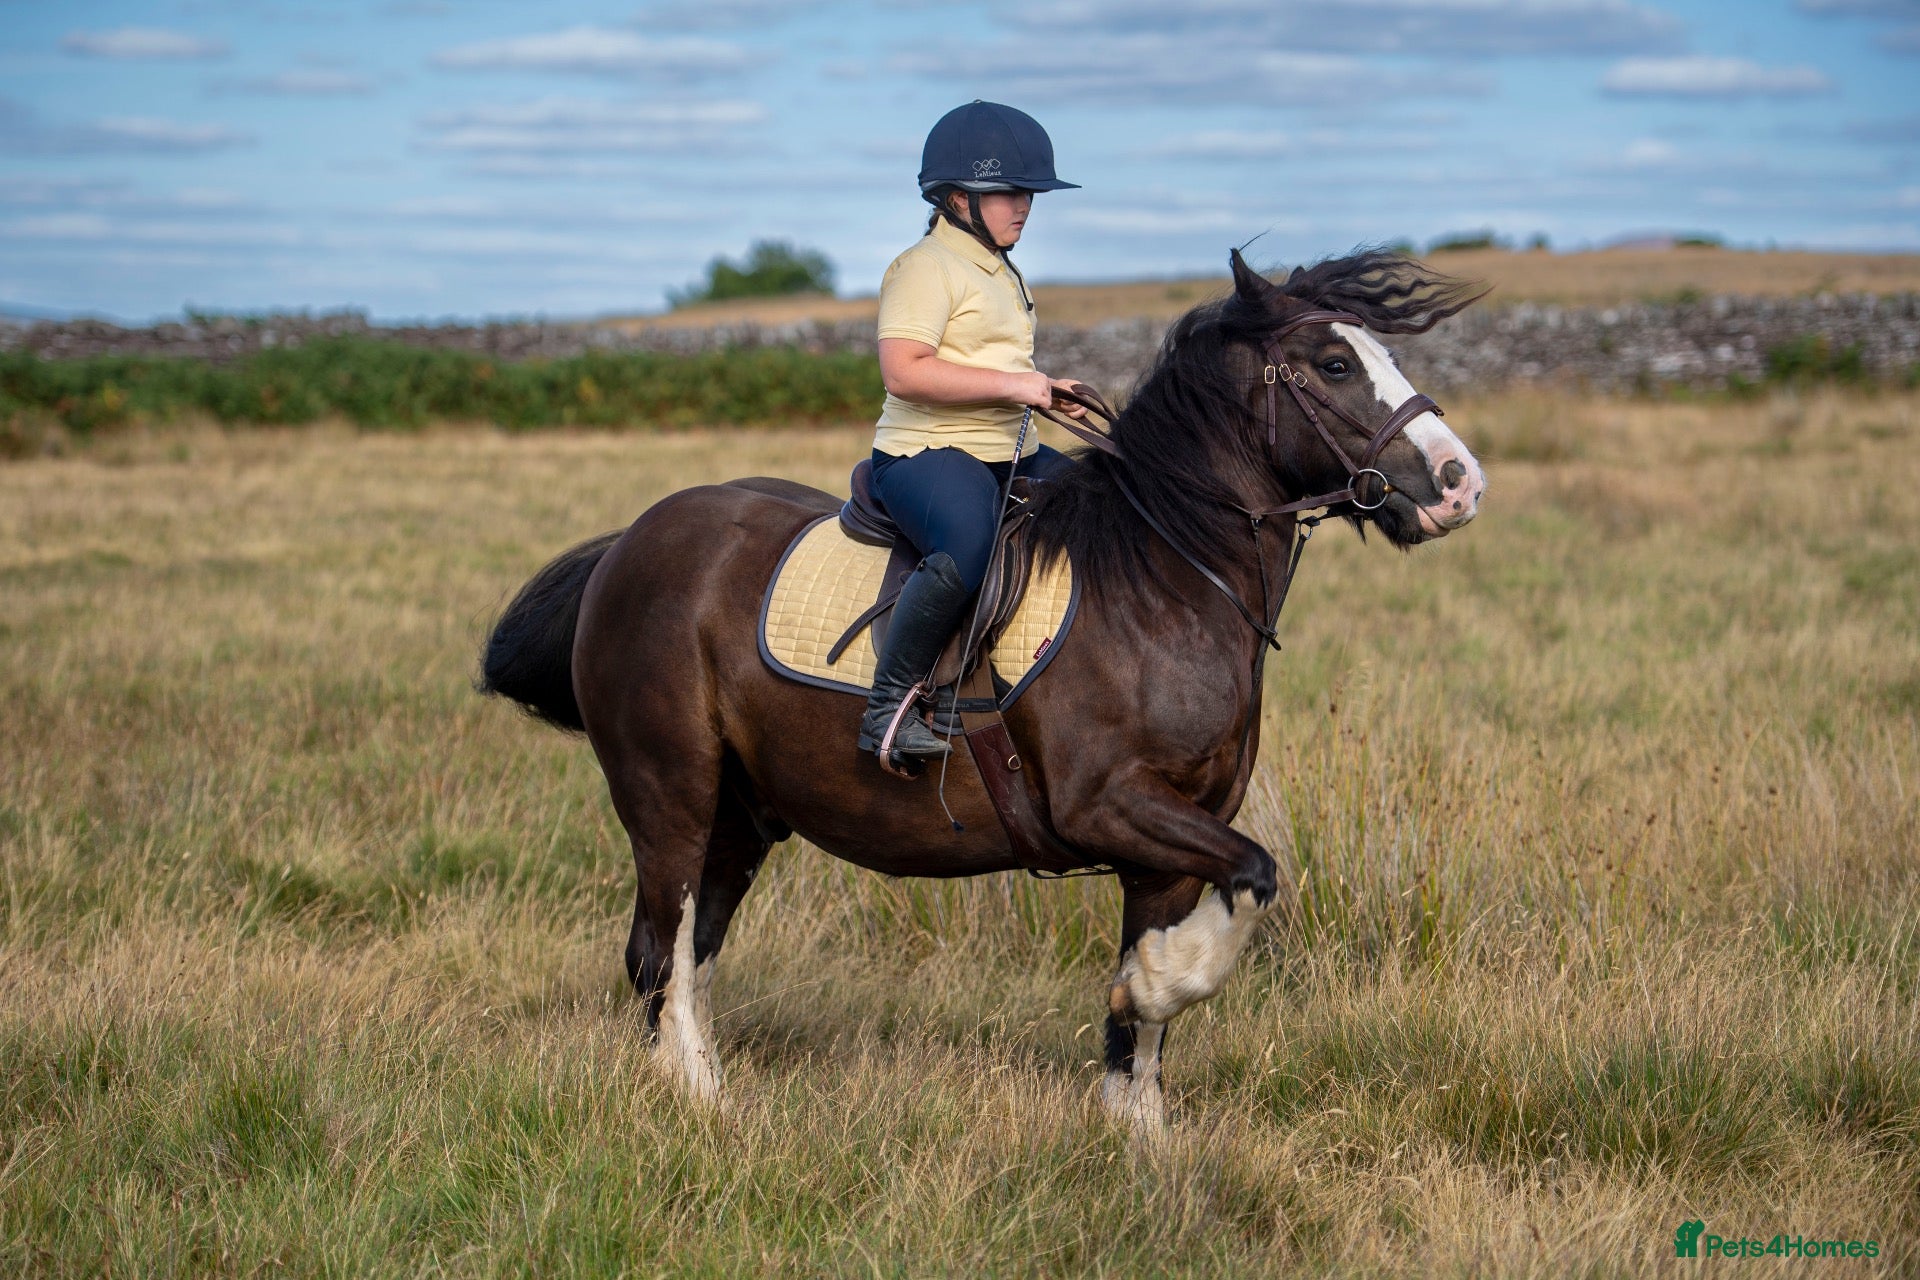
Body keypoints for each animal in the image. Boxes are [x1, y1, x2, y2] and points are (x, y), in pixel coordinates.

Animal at [478, 248, 1487, 1134]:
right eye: (1333, 363)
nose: (1459, 484)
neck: (1163, 580)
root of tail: (628, 545)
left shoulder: (1171, 841)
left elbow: (1157, 1012)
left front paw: (1141, 1138)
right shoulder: (1105, 805)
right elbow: (1249, 885)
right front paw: (1155, 986)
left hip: (741, 817)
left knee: (687, 954)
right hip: (671, 797)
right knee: (661, 950)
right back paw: (704, 1107)